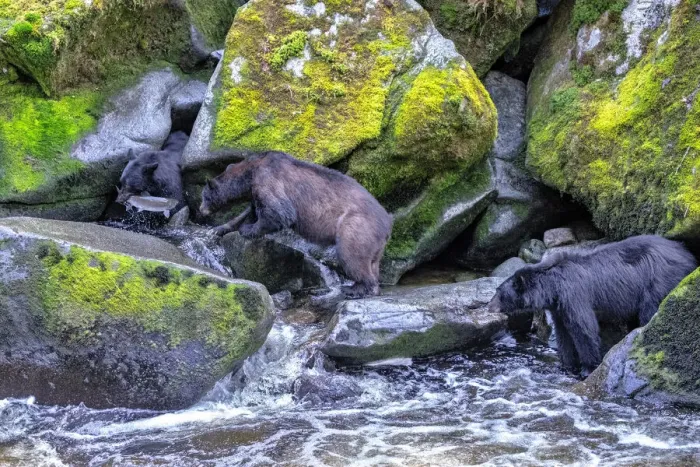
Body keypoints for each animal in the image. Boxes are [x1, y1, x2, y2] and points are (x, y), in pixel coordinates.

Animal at [198, 151, 393, 298]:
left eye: (204, 196)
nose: (200, 210)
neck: (250, 173)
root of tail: (388, 222)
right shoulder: (254, 192)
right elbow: (250, 211)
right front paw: (221, 228)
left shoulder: (268, 179)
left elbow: (279, 212)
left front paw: (248, 230)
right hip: (374, 243)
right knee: (372, 263)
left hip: (356, 227)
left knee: (351, 256)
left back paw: (355, 288)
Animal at [488, 235, 697, 376]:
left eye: (499, 293)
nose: (489, 307)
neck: (553, 287)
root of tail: (690, 256)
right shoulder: (558, 307)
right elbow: (563, 333)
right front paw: (566, 365)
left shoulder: (574, 295)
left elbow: (584, 329)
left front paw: (587, 368)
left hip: (658, 282)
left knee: (649, 311)